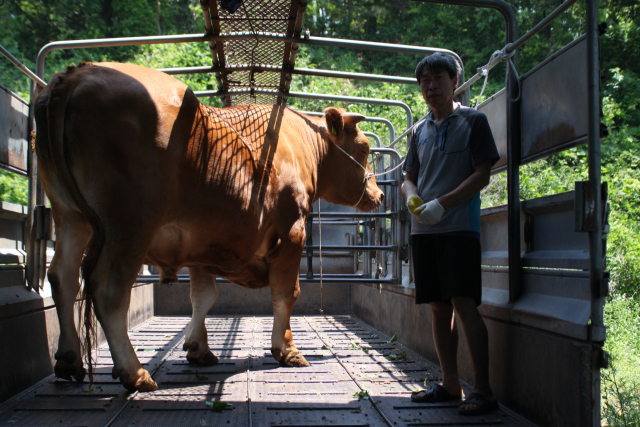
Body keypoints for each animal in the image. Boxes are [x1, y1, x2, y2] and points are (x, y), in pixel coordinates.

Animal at [35, 61, 382, 392]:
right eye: (365, 149)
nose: (378, 194)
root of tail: (79, 74)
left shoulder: (202, 240)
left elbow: (203, 297)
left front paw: (198, 348)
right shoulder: (292, 231)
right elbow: (287, 292)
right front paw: (287, 349)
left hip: (70, 216)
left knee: (63, 276)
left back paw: (69, 360)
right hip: (130, 223)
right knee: (109, 289)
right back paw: (134, 373)